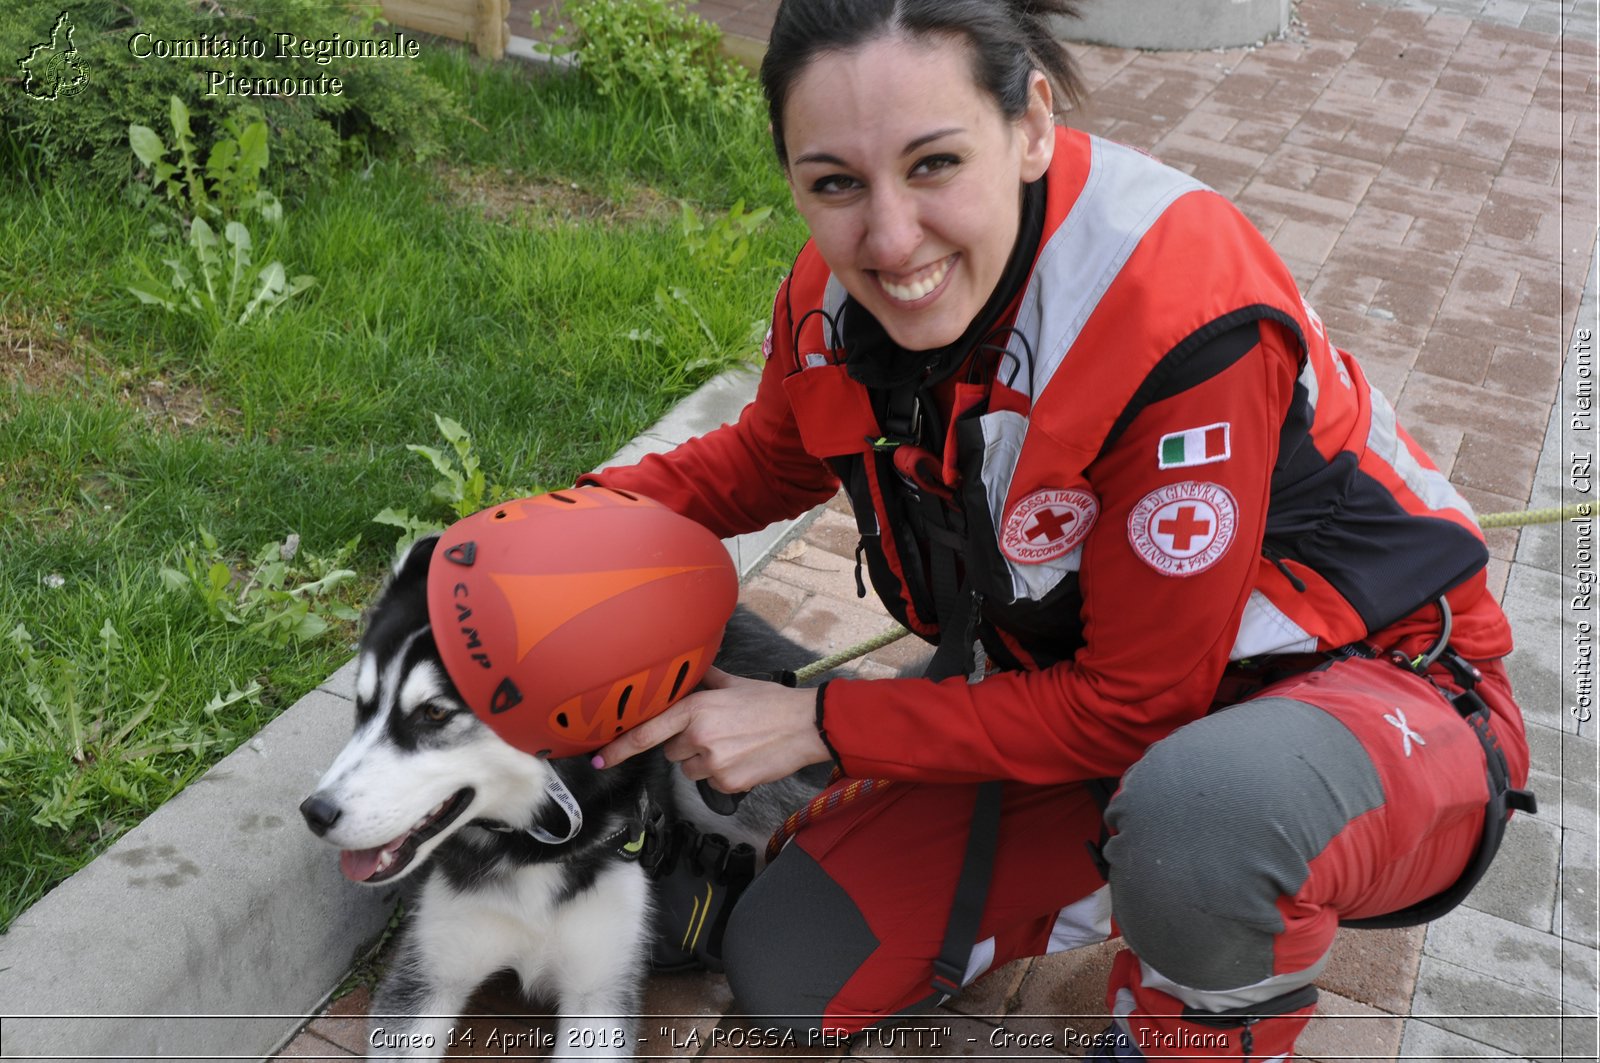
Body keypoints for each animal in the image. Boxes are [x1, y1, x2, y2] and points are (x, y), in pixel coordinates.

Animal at [300, 534, 832, 1056]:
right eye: (363, 707)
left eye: (434, 713)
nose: (314, 813)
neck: (533, 848)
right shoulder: (424, 979)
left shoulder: (599, 991)